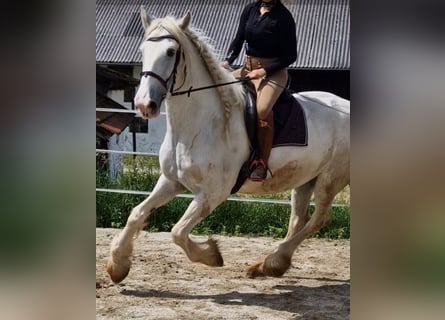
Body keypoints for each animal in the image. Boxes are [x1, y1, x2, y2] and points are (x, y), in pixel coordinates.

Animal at [106, 10, 348, 284]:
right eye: (142, 50)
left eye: (170, 52)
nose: (144, 104)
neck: (200, 125)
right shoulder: (171, 181)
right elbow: (137, 214)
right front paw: (118, 265)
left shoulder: (212, 193)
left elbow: (178, 232)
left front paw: (212, 255)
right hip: (306, 179)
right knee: (299, 219)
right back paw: (269, 265)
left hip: (331, 179)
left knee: (320, 218)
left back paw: (273, 262)